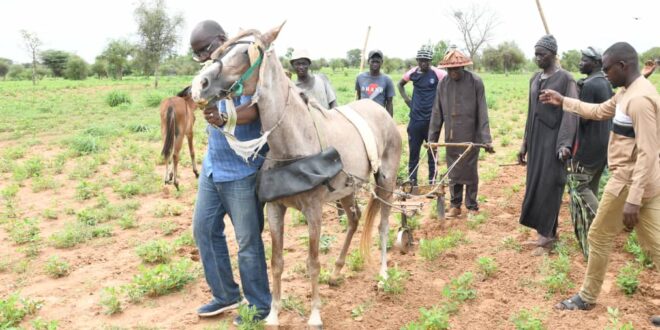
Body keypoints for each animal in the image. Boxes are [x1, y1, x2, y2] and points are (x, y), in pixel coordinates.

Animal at [188, 22, 400, 328]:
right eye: (218, 52)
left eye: (244, 53)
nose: (198, 85)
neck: (293, 143)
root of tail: (380, 111)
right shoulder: (275, 209)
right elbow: (276, 262)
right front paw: (273, 314)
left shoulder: (314, 210)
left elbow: (312, 262)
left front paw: (314, 315)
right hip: (347, 189)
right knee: (354, 218)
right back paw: (337, 272)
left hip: (386, 181)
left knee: (382, 224)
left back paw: (383, 275)